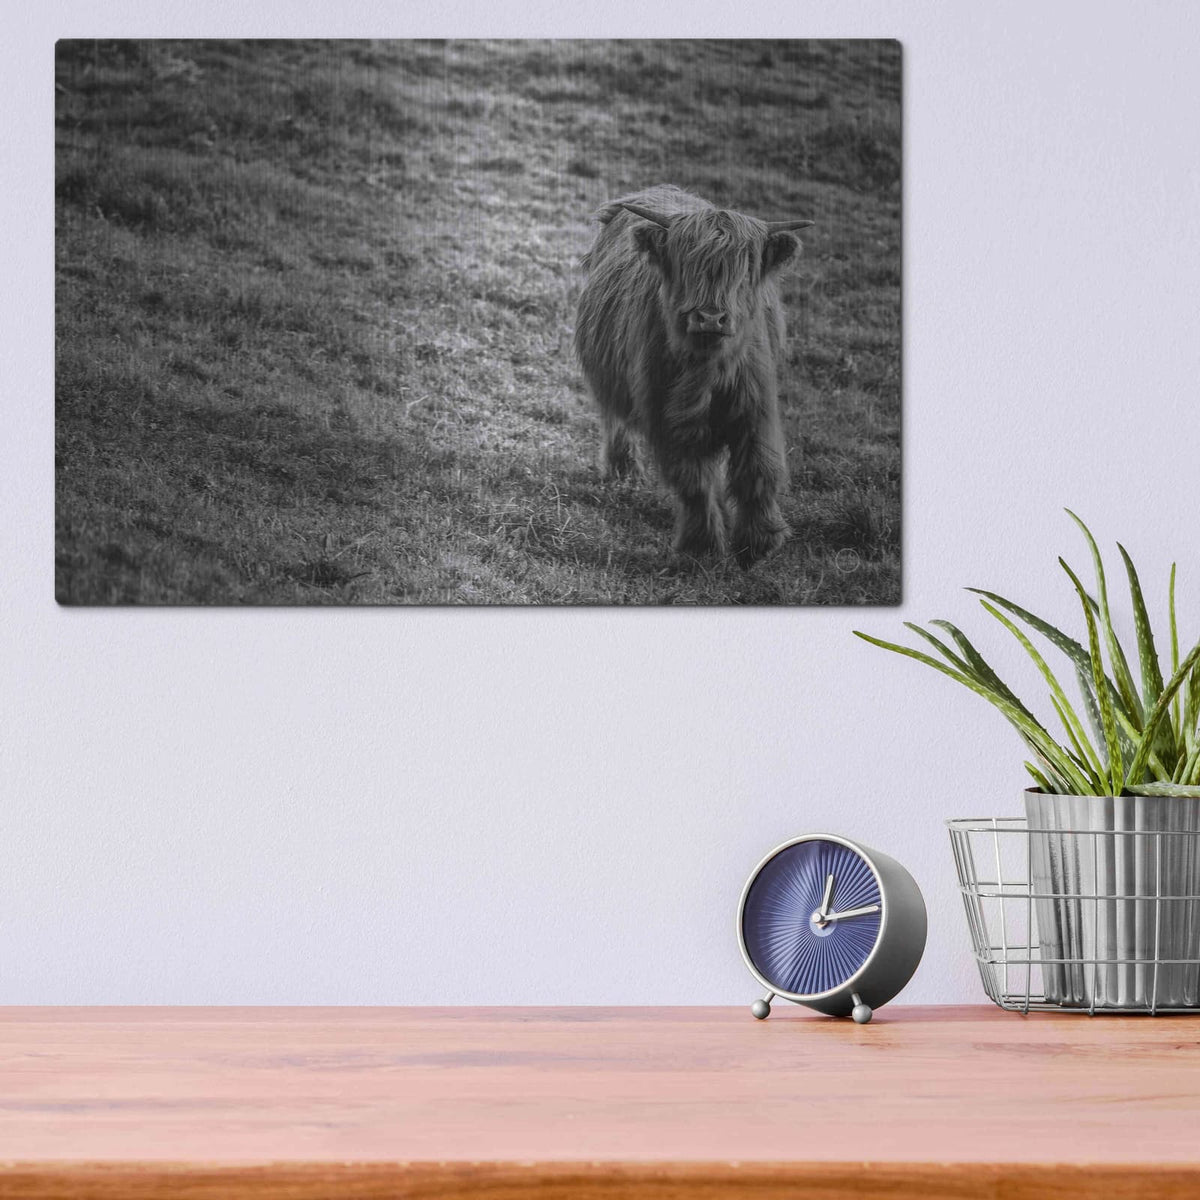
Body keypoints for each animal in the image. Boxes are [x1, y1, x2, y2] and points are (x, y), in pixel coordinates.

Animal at [574, 184, 812, 567]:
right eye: (686, 262)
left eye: (745, 267)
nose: (710, 318)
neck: (707, 369)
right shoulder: (667, 416)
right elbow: (694, 480)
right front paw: (702, 546)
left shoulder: (756, 408)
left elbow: (758, 470)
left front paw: (759, 542)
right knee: (615, 418)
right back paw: (623, 471)